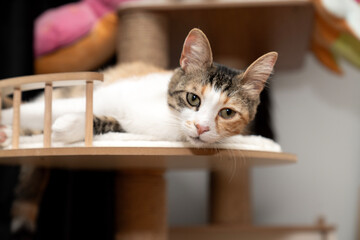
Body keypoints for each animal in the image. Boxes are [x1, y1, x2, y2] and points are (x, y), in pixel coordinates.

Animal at [0, 28, 278, 238]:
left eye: (228, 113)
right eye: (193, 98)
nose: (202, 127)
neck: (165, 115)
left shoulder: (132, 128)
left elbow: (107, 121)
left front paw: (69, 125)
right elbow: (34, 109)